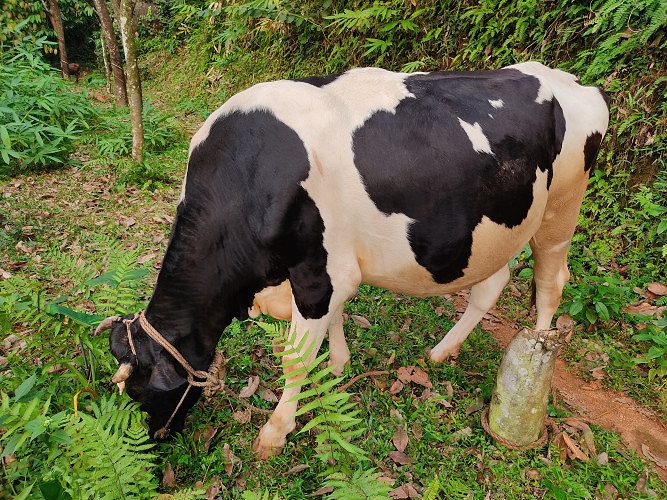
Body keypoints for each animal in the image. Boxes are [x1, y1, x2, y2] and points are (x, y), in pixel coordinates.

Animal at [97, 62, 609, 459]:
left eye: (143, 393)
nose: (153, 443)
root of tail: (573, 81)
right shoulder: (328, 270)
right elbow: (337, 317)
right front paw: (339, 364)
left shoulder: (318, 274)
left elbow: (295, 359)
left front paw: (274, 432)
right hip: (495, 229)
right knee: (491, 283)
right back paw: (441, 352)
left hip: (561, 209)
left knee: (551, 281)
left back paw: (535, 360)